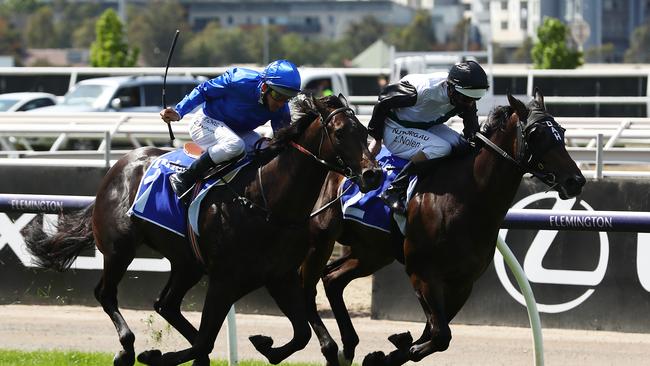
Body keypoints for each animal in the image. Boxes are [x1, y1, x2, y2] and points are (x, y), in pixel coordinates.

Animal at [24, 95, 380, 366]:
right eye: (339, 132)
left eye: (364, 131)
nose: (372, 174)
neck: (267, 202)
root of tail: (121, 165)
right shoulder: (224, 280)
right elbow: (206, 341)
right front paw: (155, 355)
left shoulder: (280, 277)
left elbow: (301, 333)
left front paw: (266, 345)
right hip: (119, 248)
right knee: (106, 293)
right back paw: (127, 349)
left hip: (187, 263)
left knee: (165, 304)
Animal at [292, 89, 584, 366]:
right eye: (535, 134)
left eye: (561, 131)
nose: (576, 180)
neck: (467, 197)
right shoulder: (423, 274)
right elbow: (440, 334)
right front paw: (396, 348)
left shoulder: (462, 283)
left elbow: (432, 334)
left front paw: (387, 353)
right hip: (322, 240)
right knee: (307, 285)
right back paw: (330, 347)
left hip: (373, 252)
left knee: (333, 278)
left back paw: (349, 345)